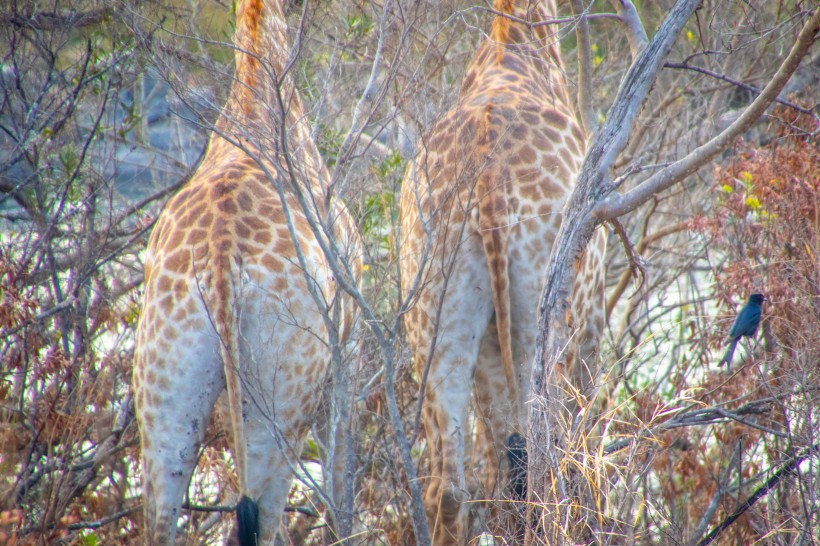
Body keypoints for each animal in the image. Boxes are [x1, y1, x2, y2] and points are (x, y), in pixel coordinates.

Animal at [133, 2, 358, 540]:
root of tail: (220, 259)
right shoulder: (349, 354)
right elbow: (342, 479)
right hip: (283, 391)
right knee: (262, 517)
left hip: (165, 384)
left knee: (161, 518)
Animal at [400, 0, 604, 540]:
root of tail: (487, 175)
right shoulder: (593, 322)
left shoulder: (489, 341)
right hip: (547, 313)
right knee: (548, 467)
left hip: (434, 311)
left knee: (453, 486)